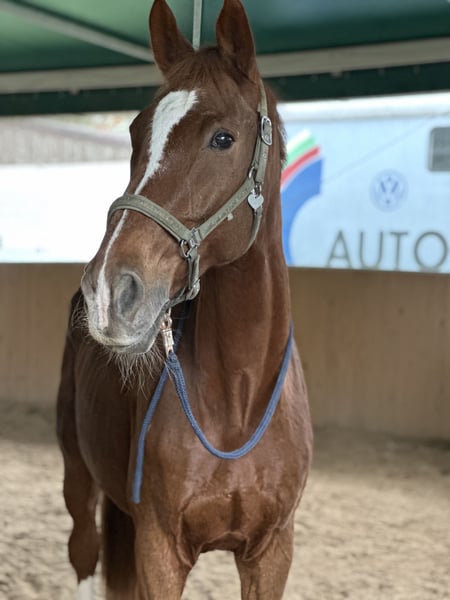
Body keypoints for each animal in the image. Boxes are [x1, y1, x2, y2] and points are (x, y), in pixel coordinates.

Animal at [56, 0, 312, 598]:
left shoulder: (272, 553)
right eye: (135, 132)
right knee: (83, 555)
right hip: (78, 480)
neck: (237, 401)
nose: (108, 291)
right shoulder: (161, 550)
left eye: (222, 138)